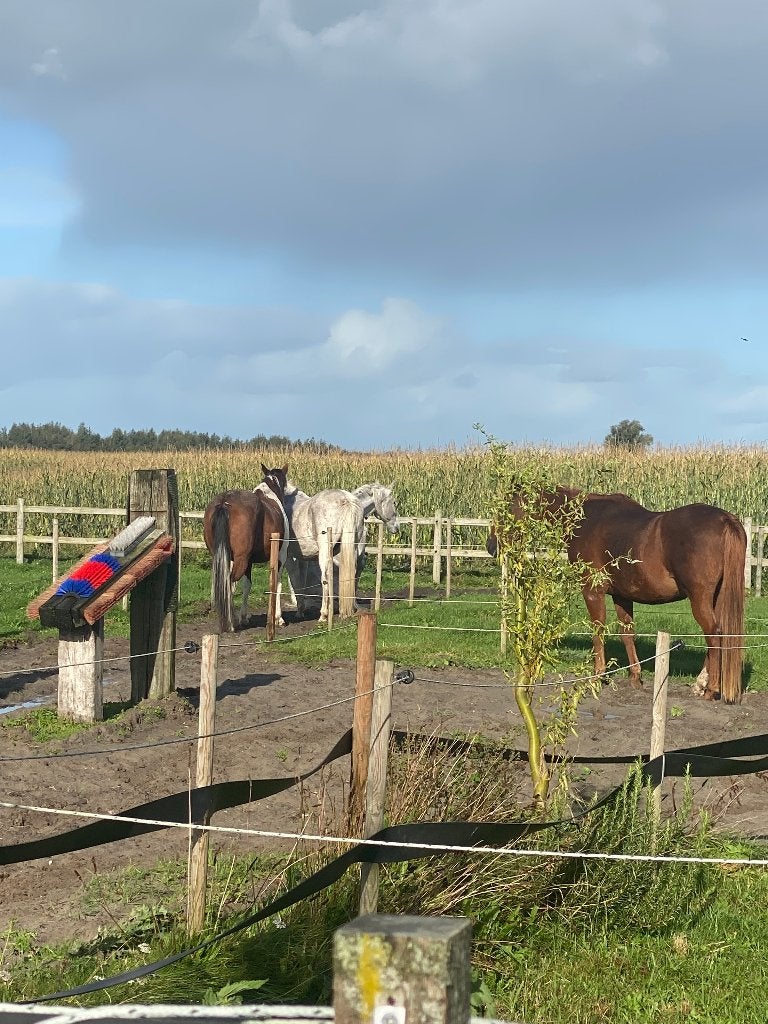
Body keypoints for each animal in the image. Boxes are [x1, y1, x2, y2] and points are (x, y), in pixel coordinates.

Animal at [203, 464, 290, 633]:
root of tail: (224, 502)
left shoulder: (248, 561)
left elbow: (247, 585)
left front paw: (244, 616)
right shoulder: (280, 557)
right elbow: (277, 584)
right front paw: (278, 618)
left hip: (224, 557)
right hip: (240, 559)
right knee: (229, 583)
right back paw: (231, 622)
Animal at [487, 486, 746, 703]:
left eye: (505, 508)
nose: (491, 546)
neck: (586, 518)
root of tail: (725, 519)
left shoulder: (592, 591)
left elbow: (598, 631)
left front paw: (597, 677)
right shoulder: (622, 596)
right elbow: (627, 634)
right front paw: (635, 678)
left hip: (699, 598)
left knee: (714, 634)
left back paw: (710, 689)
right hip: (716, 597)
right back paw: (700, 685)